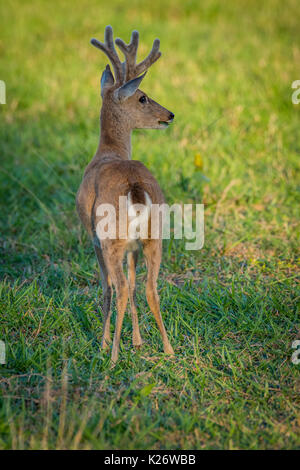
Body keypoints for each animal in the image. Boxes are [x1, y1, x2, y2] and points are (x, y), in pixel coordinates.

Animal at [77, 25, 175, 364]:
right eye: (143, 97)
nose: (170, 114)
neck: (108, 152)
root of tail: (135, 189)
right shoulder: (134, 246)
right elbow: (134, 286)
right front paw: (138, 340)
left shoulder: (93, 236)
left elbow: (107, 287)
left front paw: (107, 341)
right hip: (154, 236)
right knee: (149, 287)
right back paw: (169, 350)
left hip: (113, 238)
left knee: (117, 288)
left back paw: (112, 356)